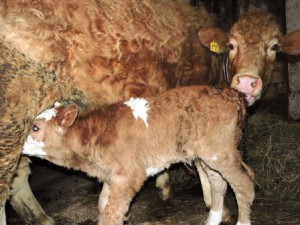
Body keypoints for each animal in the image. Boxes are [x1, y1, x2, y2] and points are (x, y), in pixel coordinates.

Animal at [22, 85, 254, 225]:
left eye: (35, 128)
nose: (18, 146)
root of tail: (229, 92)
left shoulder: (128, 175)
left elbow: (111, 213)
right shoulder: (111, 177)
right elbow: (103, 205)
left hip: (220, 151)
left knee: (244, 182)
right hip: (208, 155)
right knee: (218, 183)